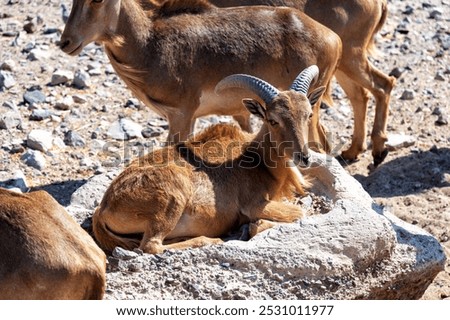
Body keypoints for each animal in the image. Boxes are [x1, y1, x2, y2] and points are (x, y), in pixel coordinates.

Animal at [59, 0, 342, 151]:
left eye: (97, 0)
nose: (65, 42)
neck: (149, 43)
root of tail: (333, 38)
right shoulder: (189, 117)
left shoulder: (181, 114)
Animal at [92, 65, 324, 255]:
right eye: (272, 120)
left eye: (308, 114)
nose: (303, 157)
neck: (256, 158)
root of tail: (103, 209)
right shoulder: (254, 204)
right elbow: (299, 213)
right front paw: (253, 227)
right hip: (170, 200)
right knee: (151, 245)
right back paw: (209, 240)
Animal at [209, 0, 396, 165]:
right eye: (272, 120)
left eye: (308, 115)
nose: (303, 157)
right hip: (344, 65)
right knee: (363, 93)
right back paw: (355, 151)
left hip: (351, 55)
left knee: (383, 84)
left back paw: (377, 150)